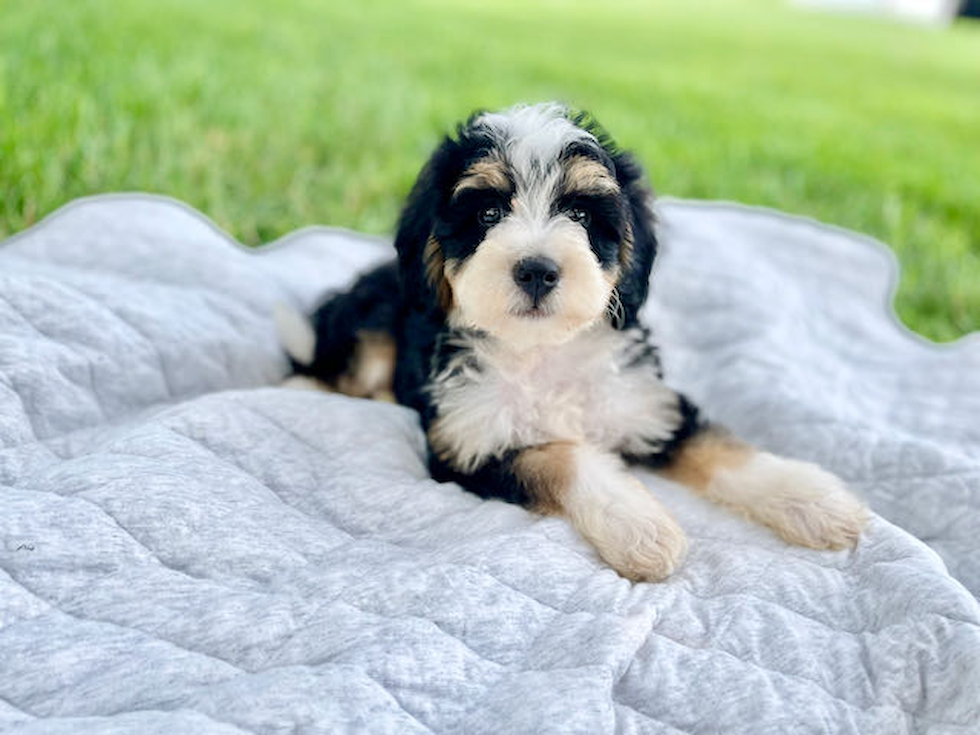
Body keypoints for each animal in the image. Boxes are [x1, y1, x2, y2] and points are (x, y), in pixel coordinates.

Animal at [280, 102, 868, 580]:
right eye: (489, 213)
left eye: (581, 214)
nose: (537, 270)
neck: (543, 350)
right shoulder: (470, 444)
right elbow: (561, 456)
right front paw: (641, 526)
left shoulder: (649, 404)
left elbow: (720, 446)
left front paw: (814, 499)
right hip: (370, 333)